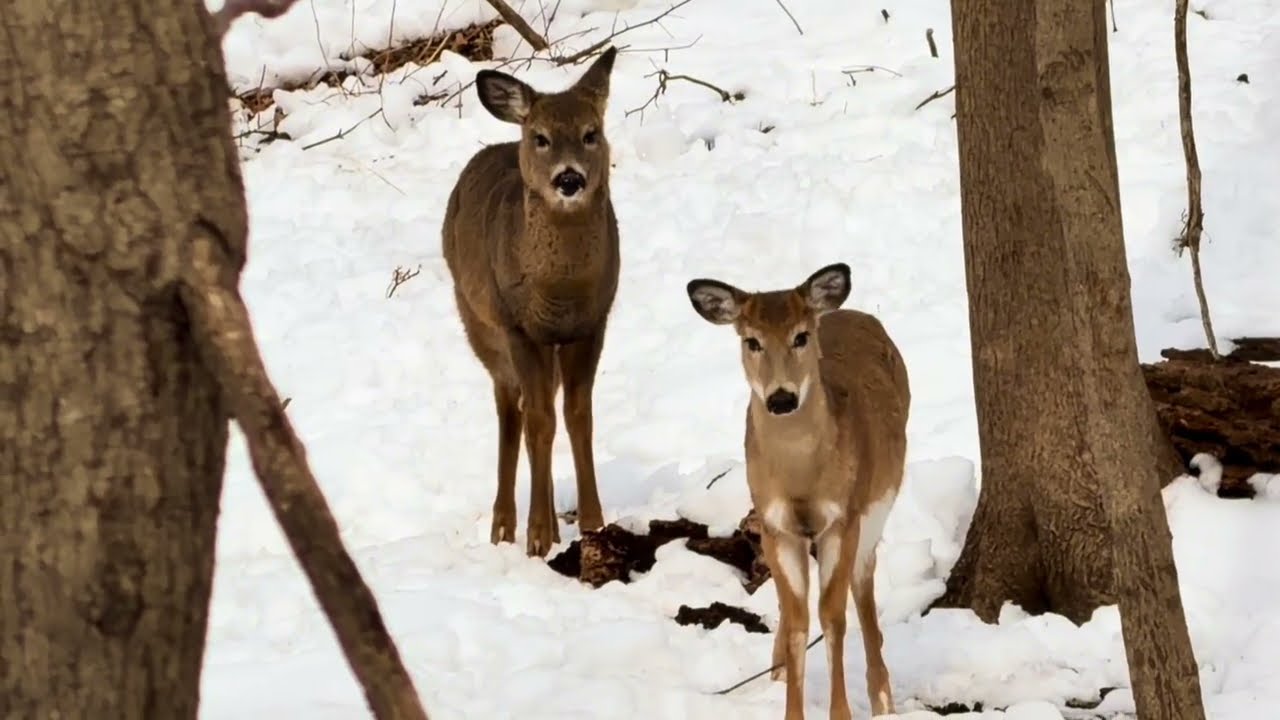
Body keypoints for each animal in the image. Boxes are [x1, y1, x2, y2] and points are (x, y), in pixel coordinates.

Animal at [440, 47, 621, 558]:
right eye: (541, 138)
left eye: (591, 133)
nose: (569, 178)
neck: (560, 292)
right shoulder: (519, 327)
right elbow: (539, 422)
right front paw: (537, 536)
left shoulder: (592, 324)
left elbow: (579, 417)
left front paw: (592, 522)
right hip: (477, 321)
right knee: (510, 409)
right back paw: (504, 525)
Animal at [685, 263, 910, 720]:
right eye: (751, 341)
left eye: (801, 336)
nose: (782, 398)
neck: (801, 479)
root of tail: (856, 312)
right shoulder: (777, 527)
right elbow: (796, 621)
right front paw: (790, 705)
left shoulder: (842, 518)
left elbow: (833, 617)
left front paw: (842, 713)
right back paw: (776, 672)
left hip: (877, 504)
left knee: (863, 584)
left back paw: (882, 697)